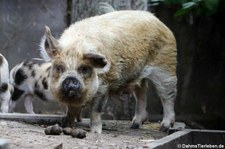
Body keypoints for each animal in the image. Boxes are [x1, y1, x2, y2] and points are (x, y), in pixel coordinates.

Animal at [43, 10, 178, 134]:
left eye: (84, 68)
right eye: (59, 67)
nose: (71, 79)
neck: (76, 46)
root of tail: (159, 21)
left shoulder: (104, 85)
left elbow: (96, 110)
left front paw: (96, 132)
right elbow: (71, 109)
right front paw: (66, 125)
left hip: (166, 66)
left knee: (167, 95)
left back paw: (164, 128)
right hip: (139, 74)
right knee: (141, 93)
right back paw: (134, 125)